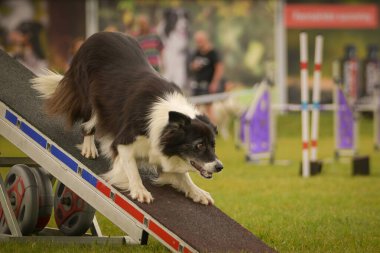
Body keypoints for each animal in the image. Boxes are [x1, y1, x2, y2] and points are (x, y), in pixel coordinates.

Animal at [32, 32, 224, 206]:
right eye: (199, 145)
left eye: (213, 145)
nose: (219, 167)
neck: (166, 121)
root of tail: (98, 34)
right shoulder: (123, 141)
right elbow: (131, 168)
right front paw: (139, 190)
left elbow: (183, 176)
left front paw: (197, 192)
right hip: (90, 97)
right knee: (89, 123)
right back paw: (89, 147)